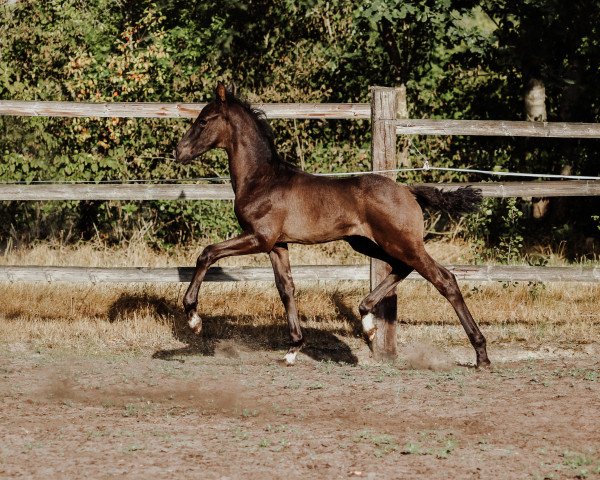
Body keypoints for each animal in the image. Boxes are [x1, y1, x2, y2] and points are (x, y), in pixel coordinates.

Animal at [175, 83, 492, 368]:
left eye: (203, 120)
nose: (179, 152)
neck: (262, 179)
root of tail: (408, 191)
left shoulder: (259, 237)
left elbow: (207, 253)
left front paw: (193, 318)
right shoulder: (278, 245)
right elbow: (286, 288)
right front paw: (293, 350)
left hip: (401, 242)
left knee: (444, 279)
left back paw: (481, 355)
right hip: (367, 242)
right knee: (402, 268)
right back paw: (367, 322)